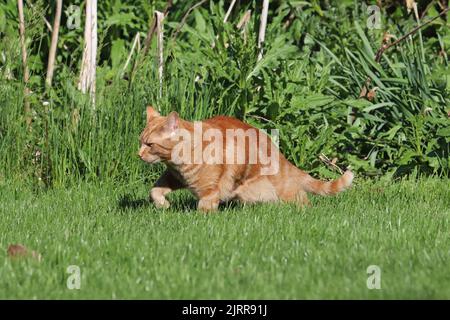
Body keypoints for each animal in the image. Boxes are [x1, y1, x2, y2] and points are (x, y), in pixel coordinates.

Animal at [139, 106, 354, 211]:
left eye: (149, 145)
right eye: (140, 142)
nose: (138, 154)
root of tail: (281, 156)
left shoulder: (209, 191)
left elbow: (204, 210)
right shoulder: (173, 177)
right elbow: (154, 191)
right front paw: (164, 205)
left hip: (274, 191)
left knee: (302, 199)